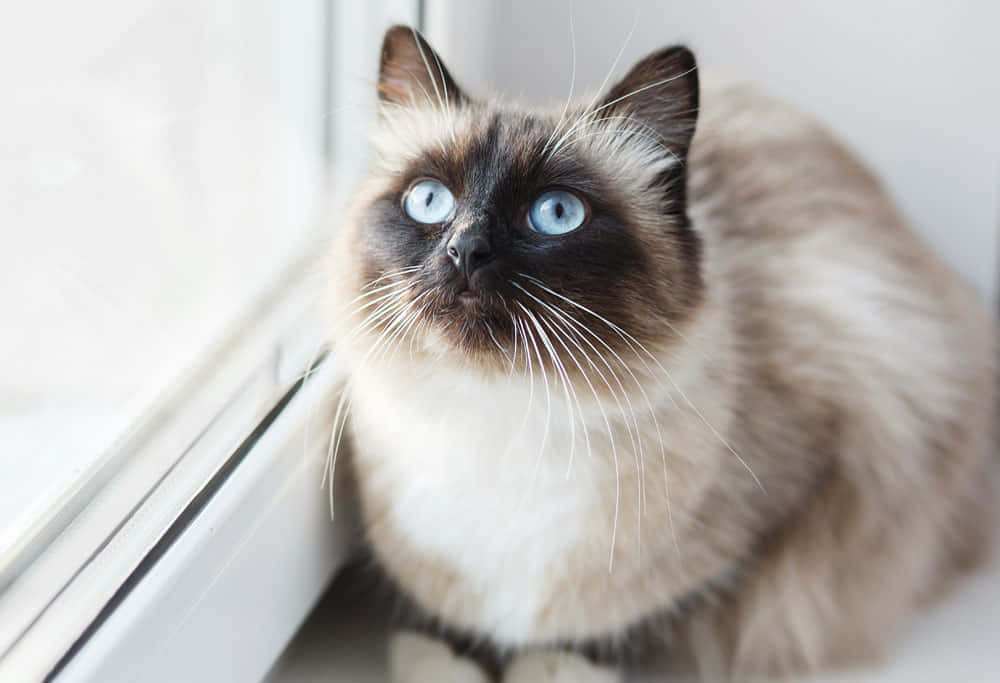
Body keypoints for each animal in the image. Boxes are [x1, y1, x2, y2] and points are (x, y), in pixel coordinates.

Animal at [326, 25, 992, 683]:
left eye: (556, 214)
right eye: (430, 201)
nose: (466, 249)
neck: (502, 419)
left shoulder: (828, 483)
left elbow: (637, 618)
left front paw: (555, 661)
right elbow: (436, 616)